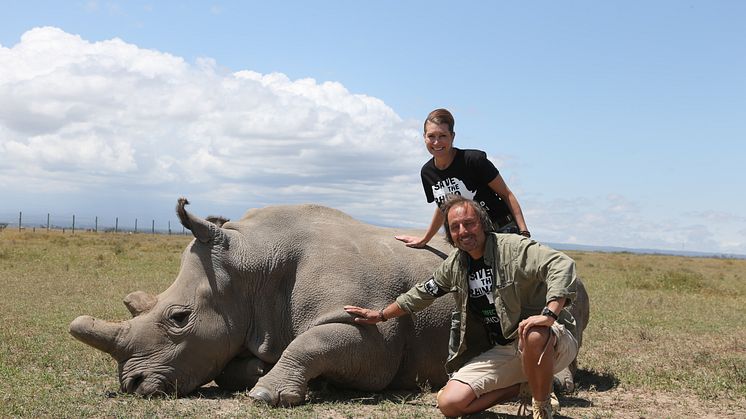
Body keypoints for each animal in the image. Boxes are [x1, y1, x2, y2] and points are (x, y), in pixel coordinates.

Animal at [71, 199, 592, 406]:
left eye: (179, 318)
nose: (132, 385)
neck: (252, 265)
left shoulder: (372, 337)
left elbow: (317, 342)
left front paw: (266, 393)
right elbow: (242, 362)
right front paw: (265, 373)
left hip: (573, 281)